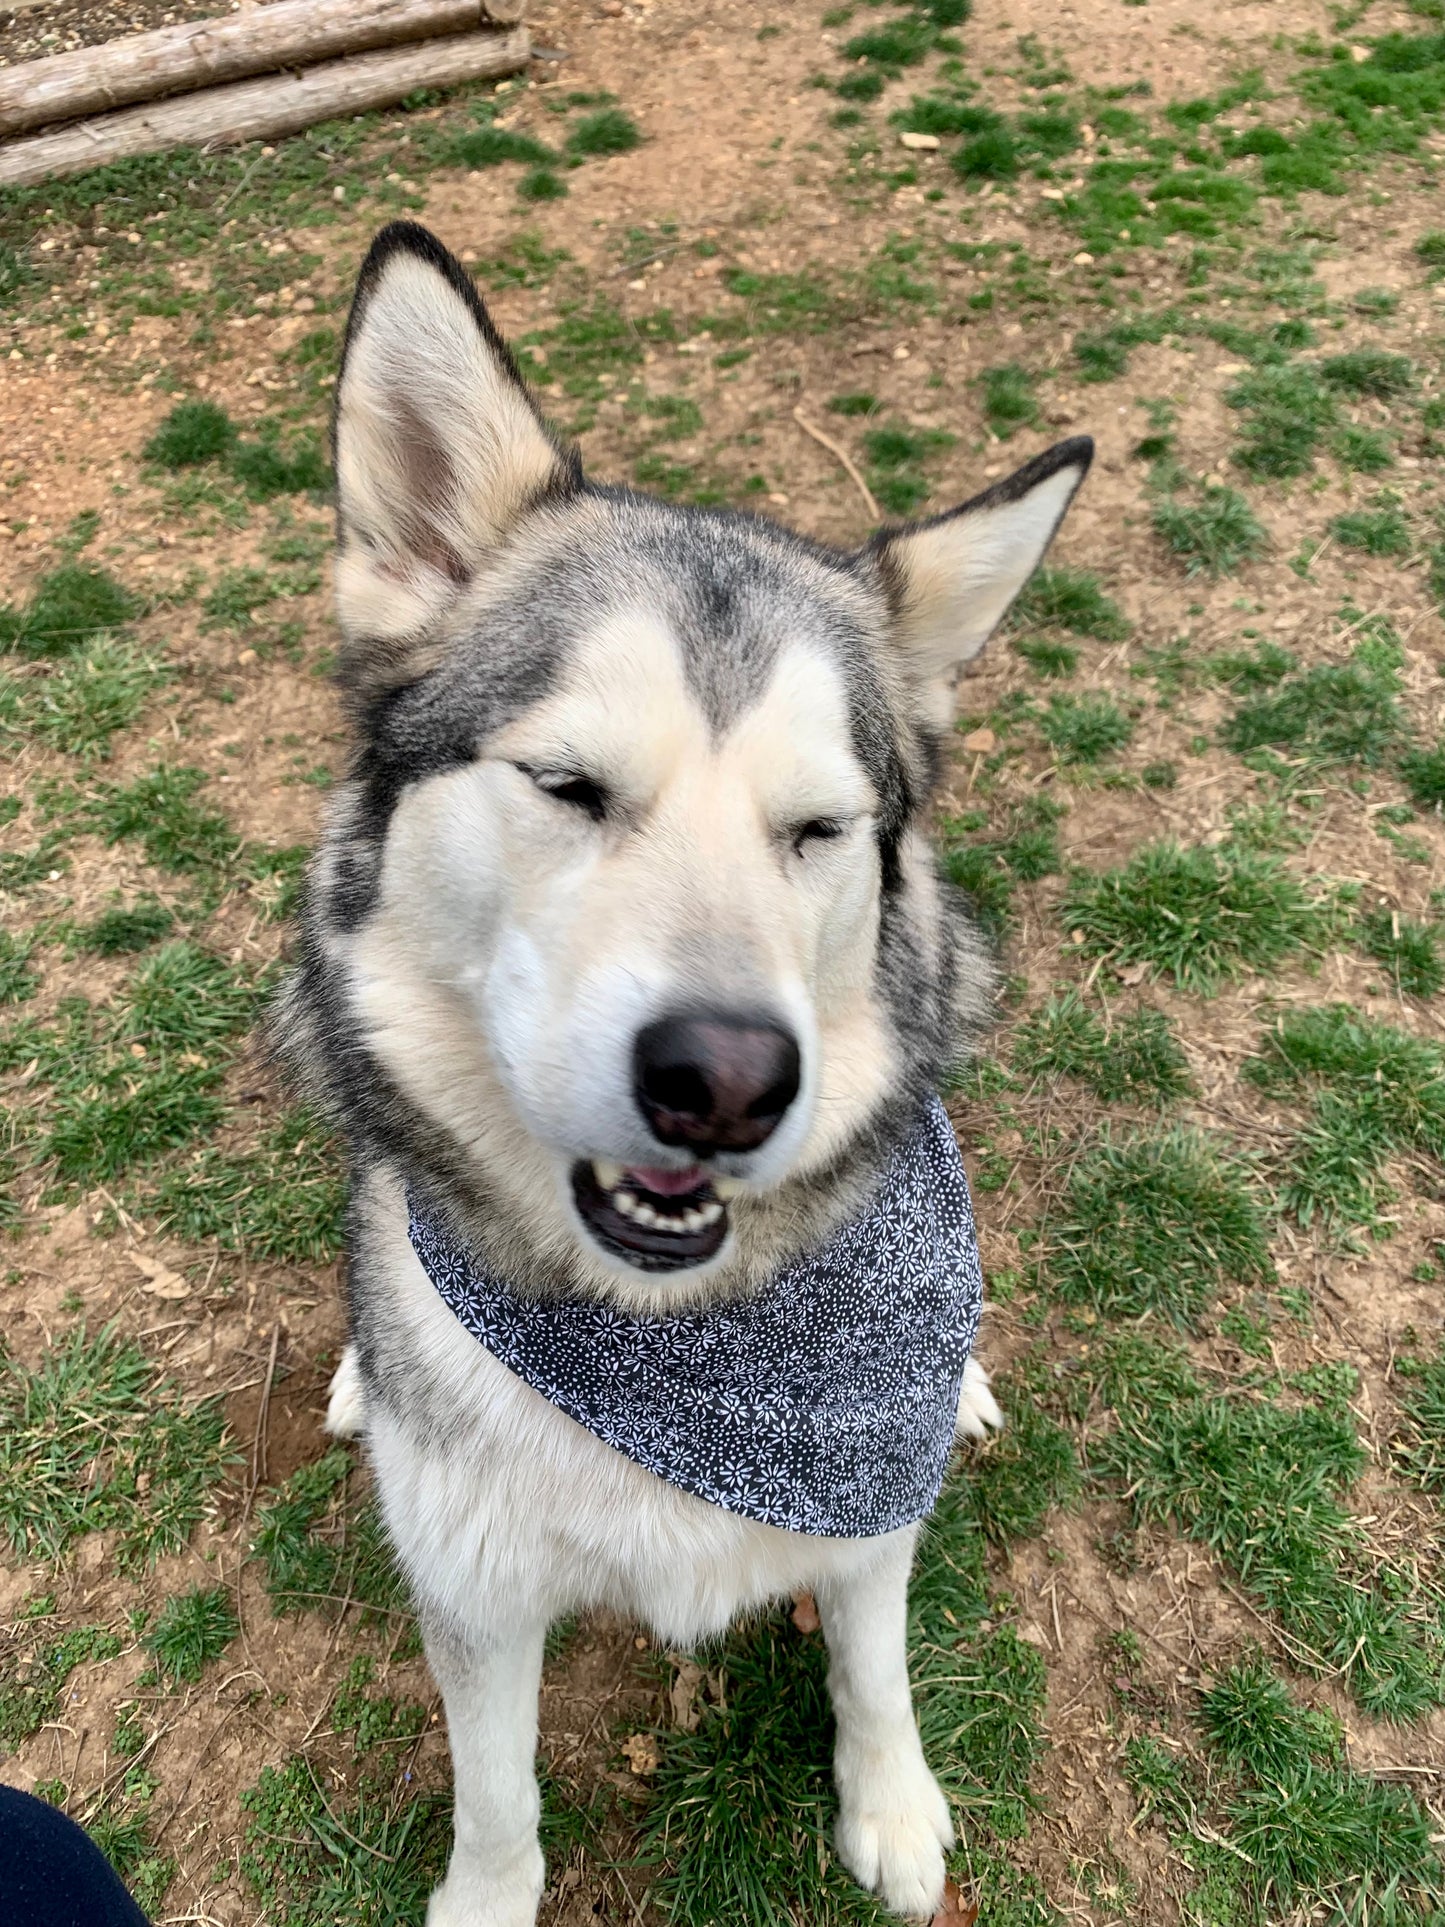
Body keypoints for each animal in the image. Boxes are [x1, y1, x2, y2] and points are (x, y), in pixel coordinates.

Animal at [283, 218, 1094, 1919]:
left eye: (820, 827)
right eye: (565, 783)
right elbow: (498, 1792)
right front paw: (485, 1897)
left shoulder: (865, 1499)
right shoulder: (475, 1589)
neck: (684, 1335)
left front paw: (891, 1803)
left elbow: (872, 1655)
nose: (726, 1079)